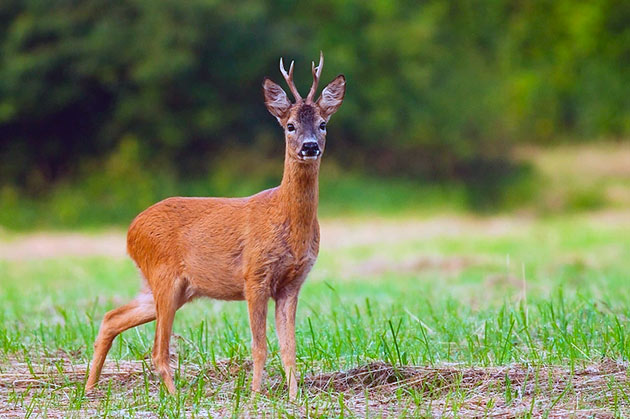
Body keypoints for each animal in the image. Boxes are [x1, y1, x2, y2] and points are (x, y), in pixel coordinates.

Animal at [84, 52, 346, 400]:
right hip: (164, 275)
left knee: (111, 317)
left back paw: (90, 387)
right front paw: (254, 395)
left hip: (174, 287)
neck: (287, 221)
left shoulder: (292, 282)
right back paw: (174, 396)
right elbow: (260, 346)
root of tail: (130, 231)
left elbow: (289, 348)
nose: (309, 146)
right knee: (157, 350)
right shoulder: (254, 275)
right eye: (289, 126)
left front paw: (293, 397)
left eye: (322, 124)